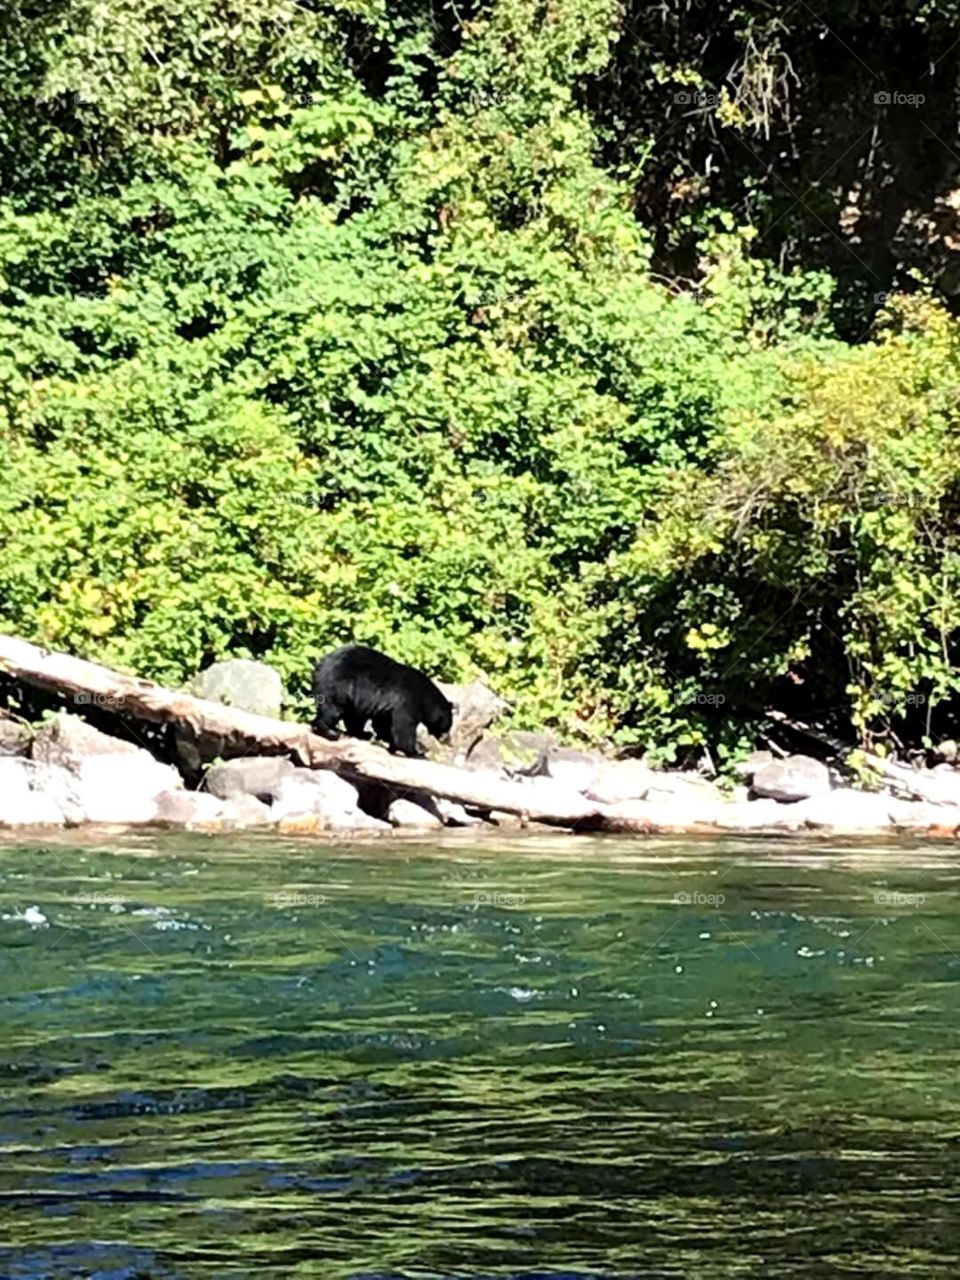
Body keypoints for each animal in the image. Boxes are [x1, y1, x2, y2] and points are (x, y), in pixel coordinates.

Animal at [310, 644, 453, 757]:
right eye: (448, 725)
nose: (448, 740)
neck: (425, 699)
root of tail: (319, 664)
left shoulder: (387, 707)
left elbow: (383, 724)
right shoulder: (408, 701)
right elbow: (403, 727)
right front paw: (416, 752)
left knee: (354, 717)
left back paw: (362, 733)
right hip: (340, 686)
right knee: (333, 709)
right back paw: (330, 731)